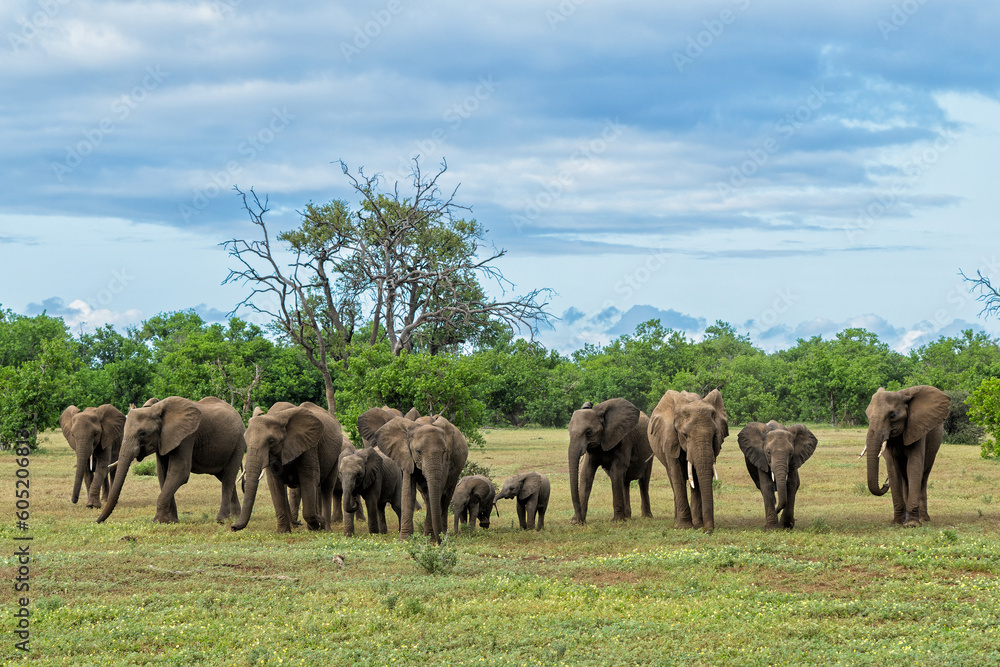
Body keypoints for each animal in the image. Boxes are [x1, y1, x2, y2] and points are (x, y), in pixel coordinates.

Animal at [96, 396, 245, 528]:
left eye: (142, 433)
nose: (97, 521)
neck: (156, 409)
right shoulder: (163, 440)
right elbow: (163, 473)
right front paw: (170, 521)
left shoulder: (187, 437)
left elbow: (180, 471)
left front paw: (157, 521)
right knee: (224, 477)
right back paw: (235, 516)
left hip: (238, 443)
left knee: (228, 478)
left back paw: (222, 519)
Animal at [232, 400, 346, 536]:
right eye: (246, 441)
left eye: (271, 441)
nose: (233, 527)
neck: (277, 416)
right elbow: (275, 484)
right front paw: (282, 532)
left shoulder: (309, 447)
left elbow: (309, 479)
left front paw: (318, 523)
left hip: (335, 454)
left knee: (326, 488)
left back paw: (326, 528)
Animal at [648, 388, 728, 536]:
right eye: (684, 435)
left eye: (715, 435)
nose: (708, 530)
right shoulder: (669, 438)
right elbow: (677, 476)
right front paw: (684, 527)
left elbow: (698, 477)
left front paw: (697, 525)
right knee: (673, 479)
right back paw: (676, 521)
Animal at [864, 386, 948, 528]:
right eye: (867, 415)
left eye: (892, 415)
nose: (885, 484)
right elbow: (892, 469)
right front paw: (897, 522)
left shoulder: (917, 428)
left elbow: (914, 466)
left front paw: (912, 524)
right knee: (904, 477)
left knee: (924, 475)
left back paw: (924, 518)